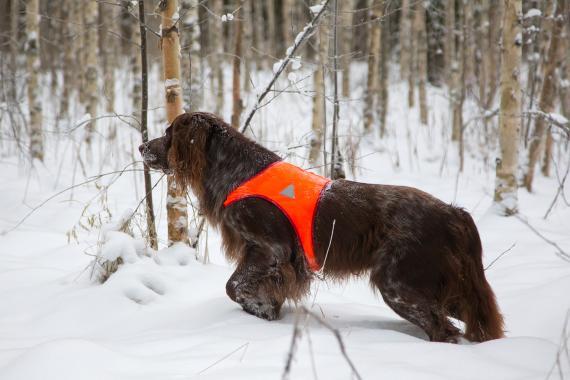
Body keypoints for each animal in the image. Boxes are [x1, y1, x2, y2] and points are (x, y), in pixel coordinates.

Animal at [140, 111, 504, 342]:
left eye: (169, 134)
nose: (142, 146)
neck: (236, 172)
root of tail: (452, 213)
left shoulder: (272, 249)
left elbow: (234, 286)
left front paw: (260, 310)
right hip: (445, 287)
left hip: (400, 284)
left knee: (444, 329)